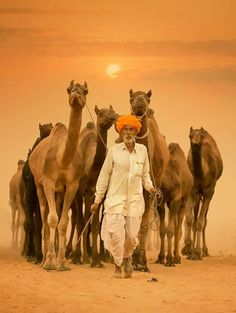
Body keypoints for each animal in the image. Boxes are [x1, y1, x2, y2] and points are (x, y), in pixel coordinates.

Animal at [29, 79, 88, 270]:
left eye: (85, 90)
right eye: (69, 89)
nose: (76, 92)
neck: (63, 159)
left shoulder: (72, 185)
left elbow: (63, 223)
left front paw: (61, 262)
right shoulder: (48, 181)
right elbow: (52, 219)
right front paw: (49, 262)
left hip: (59, 192)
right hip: (38, 185)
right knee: (44, 218)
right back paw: (42, 260)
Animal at [68, 105, 118, 266]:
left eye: (111, 111)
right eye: (101, 113)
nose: (113, 115)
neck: (91, 168)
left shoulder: (97, 194)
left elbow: (95, 225)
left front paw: (96, 259)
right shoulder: (79, 193)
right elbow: (80, 223)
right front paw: (77, 257)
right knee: (77, 218)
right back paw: (76, 254)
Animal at [182, 126, 224, 258]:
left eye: (200, 136)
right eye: (190, 135)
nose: (195, 142)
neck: (202, 174)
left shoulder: (209, 192)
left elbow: (201, 222)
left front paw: (197, 251)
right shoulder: (192, 191)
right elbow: (190, 219)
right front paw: (188, 248)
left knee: (204, 220)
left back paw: (204, 250)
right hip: (197, 195)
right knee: (194, 217)